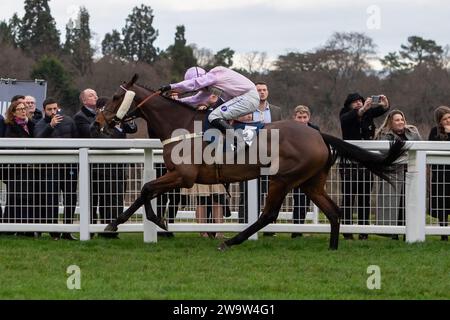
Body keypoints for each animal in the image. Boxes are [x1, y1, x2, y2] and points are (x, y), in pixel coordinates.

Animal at [93, 75, 406, 250]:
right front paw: (115, 225)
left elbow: (146, 189)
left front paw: (154, 223)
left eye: (118, 96)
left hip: (284, 178)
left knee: (268, 215)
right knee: (334, 211)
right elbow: (144, 192)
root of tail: (318, 134)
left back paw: (230, 241)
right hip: (310, 182)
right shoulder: (177, 176)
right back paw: (332, 248)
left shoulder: (184, 176)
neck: (181, 125)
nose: (99, 121)